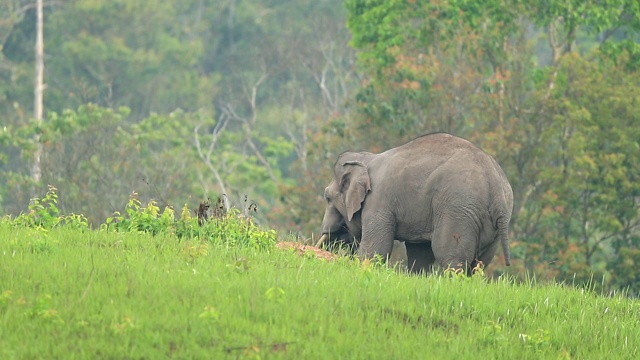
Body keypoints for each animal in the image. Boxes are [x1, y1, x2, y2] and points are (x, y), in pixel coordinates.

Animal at [316, 134, 516, 274]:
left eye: (327, 197)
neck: (367, 158)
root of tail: (497, 189)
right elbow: (420, 253)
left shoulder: (378, 202)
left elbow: (376, 249)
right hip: (491, 225)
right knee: (479, 264)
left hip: (458, 209)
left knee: (450, 256)